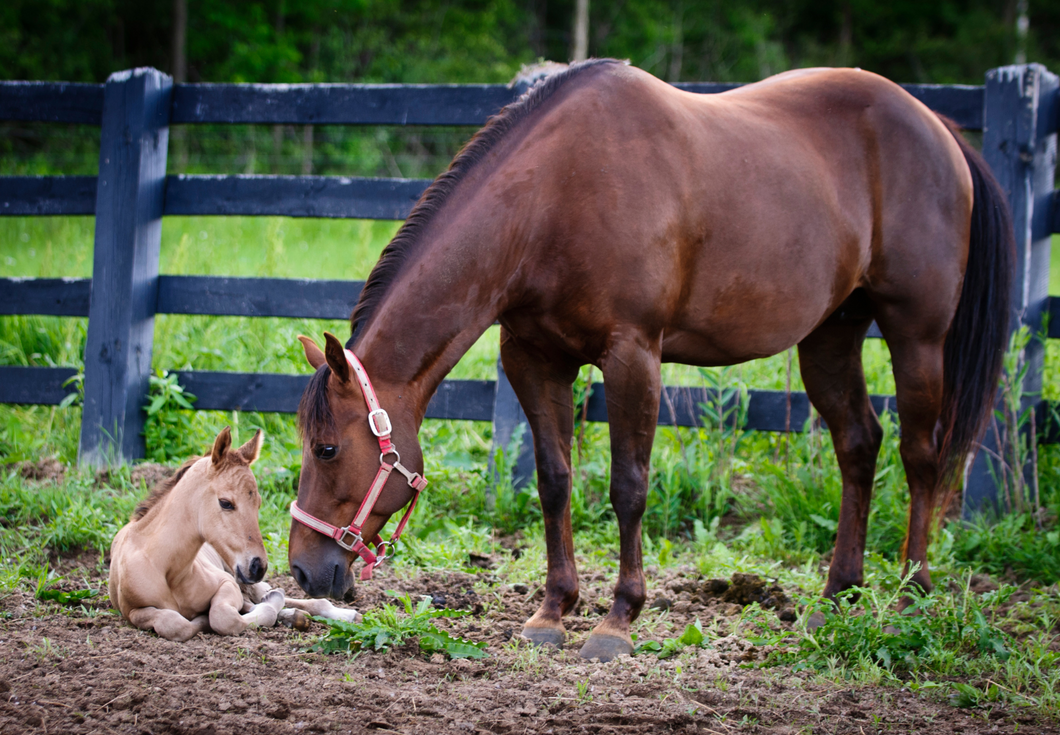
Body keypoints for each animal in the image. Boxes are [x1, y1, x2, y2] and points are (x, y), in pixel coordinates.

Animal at [109, 426, 362, 640]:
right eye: (226, 503)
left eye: (258, 503)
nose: (258, 566)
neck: (168, 569)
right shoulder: (132, 610)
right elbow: (175, 623)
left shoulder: (226, 583)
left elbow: (223, 618)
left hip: (239, 575)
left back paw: (341, 614)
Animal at [288, 58, 1009, 657]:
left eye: (327, 448)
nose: (301, 568)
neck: (554, 198)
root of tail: (937, 128)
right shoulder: (533, 357)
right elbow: (555, 480)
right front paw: (553, 611)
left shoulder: (633, 354)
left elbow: (628, 487)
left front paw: (617, 620)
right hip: (831, 334)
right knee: (859, 444)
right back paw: (836, 596)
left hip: (917, 335)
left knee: (921, 456)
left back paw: (912, 592)